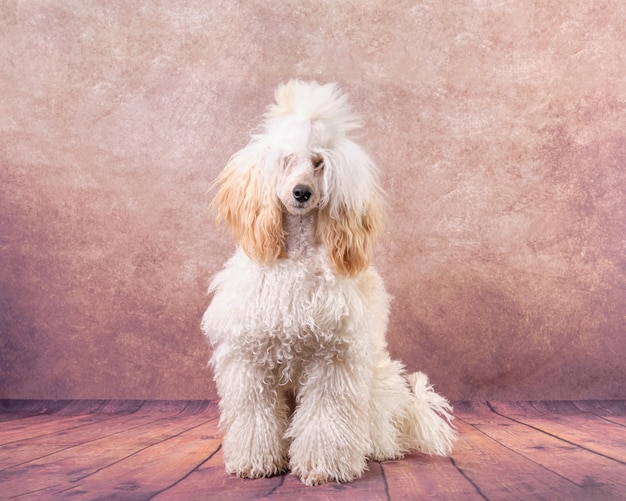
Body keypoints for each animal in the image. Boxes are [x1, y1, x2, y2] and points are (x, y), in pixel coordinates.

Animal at [202, 81, 456, 484]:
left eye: (319, 163)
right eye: (286, 160)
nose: (301, 192)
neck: (297, 258)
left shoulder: (332, 360)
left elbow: (325, 417)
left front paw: (322, 468)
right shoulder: (251, 357)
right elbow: (254, 412)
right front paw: (255, 462)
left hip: (373, 387)